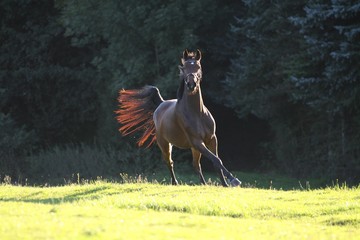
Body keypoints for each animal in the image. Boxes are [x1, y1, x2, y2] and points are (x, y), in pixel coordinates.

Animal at [116, 49, 242, 188]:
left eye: (198, 67)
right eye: (184, 68)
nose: (191, 84)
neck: (197, 113)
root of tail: (161, 104)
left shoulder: (211, 139)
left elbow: (217, 161)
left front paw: (225, 184)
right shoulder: (197, 142)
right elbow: (216, 159)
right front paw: (233, 180)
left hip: (193, 147)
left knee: (196, 165)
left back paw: (203, 184)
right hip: (165, 144)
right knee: (170, 162)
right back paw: (175, 182)